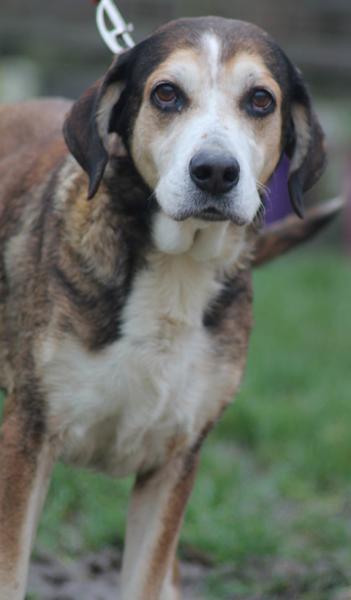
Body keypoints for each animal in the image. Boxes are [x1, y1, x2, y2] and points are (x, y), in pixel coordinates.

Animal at [0, 14, 336, 600]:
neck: (176, 276)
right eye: (166, 93)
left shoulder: (176, 462)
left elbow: (146, 578)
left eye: (260, 101)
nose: (216, 171)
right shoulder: (29, 436)